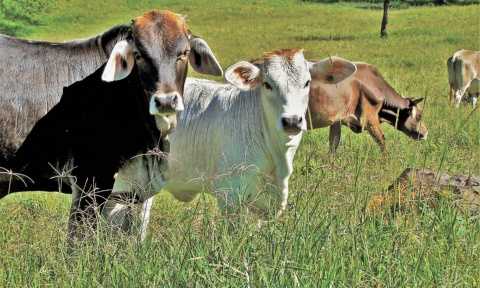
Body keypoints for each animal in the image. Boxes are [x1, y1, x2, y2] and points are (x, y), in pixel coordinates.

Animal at [0, 10, 221, 244]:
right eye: (139, 54)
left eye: (185, 52)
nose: (166, 101)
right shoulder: (90, 180)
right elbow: (79, 243)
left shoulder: (131, 190)